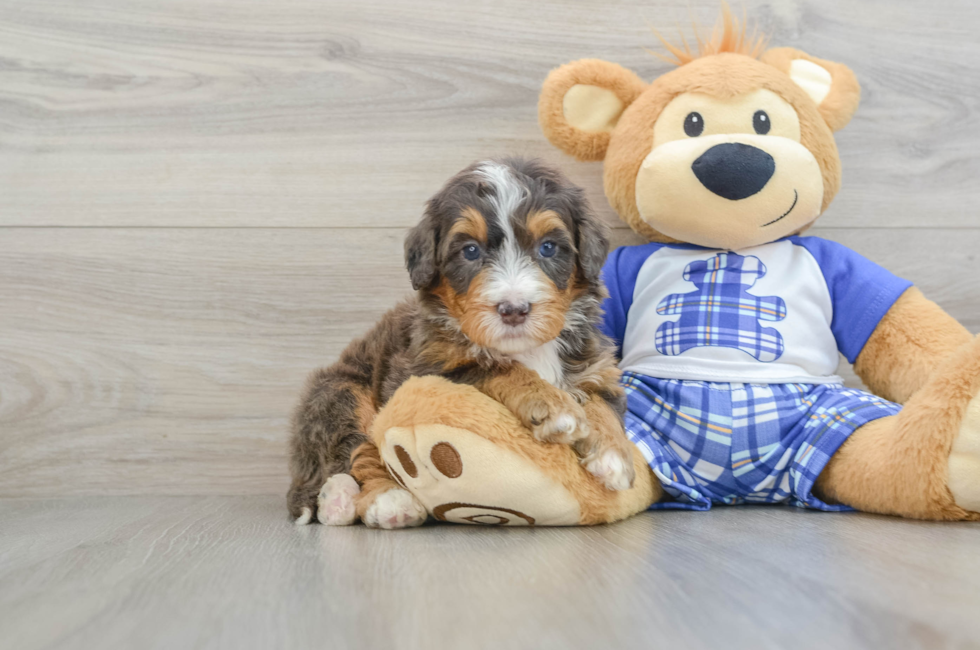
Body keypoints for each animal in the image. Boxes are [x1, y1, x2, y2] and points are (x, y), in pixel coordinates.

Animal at [286, 157, 636, 528]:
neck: (530, 349)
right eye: (470, 251)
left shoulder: (595, 364)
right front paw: (554, 408)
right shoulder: (424, 369)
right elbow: (498, 368)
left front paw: (614, 457)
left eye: (548, 247)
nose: (514, 310)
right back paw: (378, 500)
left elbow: (602, 404)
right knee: (359, 449)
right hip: (342, 393)